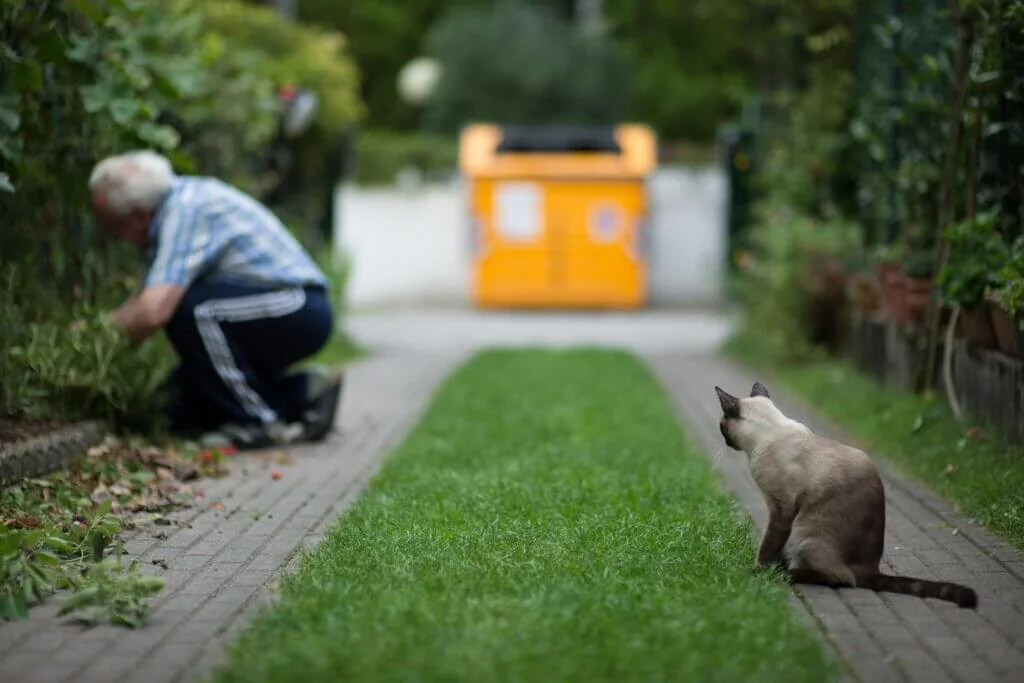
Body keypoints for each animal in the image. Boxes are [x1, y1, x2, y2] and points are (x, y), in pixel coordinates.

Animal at [716, 382, 978, 610]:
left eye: (721, 427)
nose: (725, 442)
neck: (767, 434)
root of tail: (872, 569)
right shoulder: (779, 512)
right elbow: (775, 546)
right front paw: (771, 567)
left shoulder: (781, 510)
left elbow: (768, 546)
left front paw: (759, 571)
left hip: (805, 534)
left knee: (843, 579)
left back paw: (789, 574)